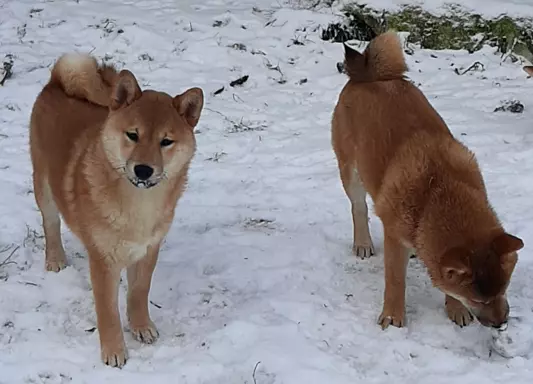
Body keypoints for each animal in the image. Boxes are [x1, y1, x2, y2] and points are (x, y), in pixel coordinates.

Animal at [29, 53, 204, 366]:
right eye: (132, 135)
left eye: (166, 141)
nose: (144, 170)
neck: (138, 205)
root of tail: (56, 82)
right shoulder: (103, 261)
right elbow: (107, 311)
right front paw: (114, 351)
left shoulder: (148, 251)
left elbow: (138, 293)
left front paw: (141, 326)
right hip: (44, 186)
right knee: (51, 224)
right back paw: (55, 259)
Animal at [332, 33, 524, 332]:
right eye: (478, 300)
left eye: (503, 290)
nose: (501, 323)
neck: (437, 189)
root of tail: (367, 76)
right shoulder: (394, 237)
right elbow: (395, 281)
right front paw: (393, 316)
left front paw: (455, 309)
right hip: (350, 172)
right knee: (358, 209)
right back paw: (363, 243)